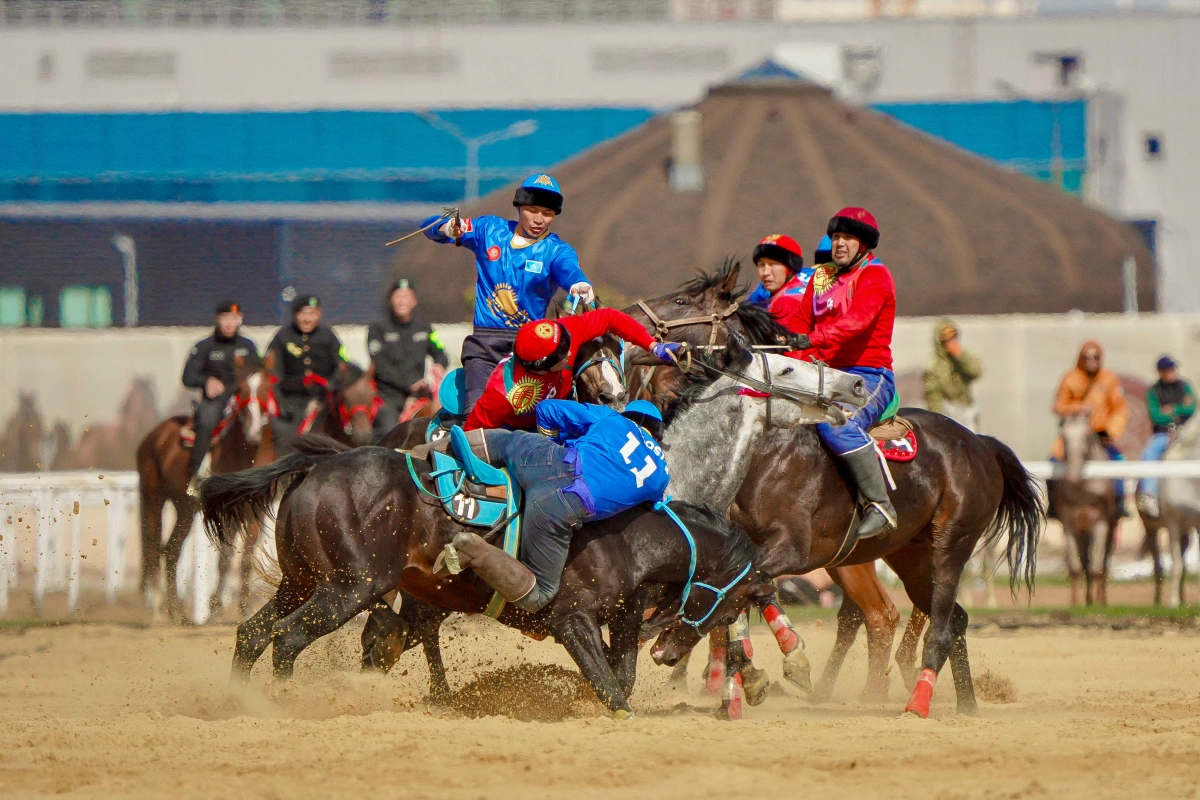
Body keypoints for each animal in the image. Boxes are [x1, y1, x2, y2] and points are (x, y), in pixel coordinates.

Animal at [136, 367, 274, 623]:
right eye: (241, 390)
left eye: (266, 389)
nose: (253, 429)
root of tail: (154, 436)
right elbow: (227, 556)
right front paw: (216, 609)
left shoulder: (254, 510)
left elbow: (245, 556)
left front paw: (243, 609)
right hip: (152, 499)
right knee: (152, 546)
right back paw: (157, 609)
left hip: (183, 509)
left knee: (170, 549)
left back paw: (176, 611)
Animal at [199, 347, 854, 714]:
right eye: (789, 365)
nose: (852, 387)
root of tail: (317, 466)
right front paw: (771, 670)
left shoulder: (633, 611)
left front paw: (762, 673)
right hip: (349, 587)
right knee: (295, 640)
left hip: (306, 580)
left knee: (256, 635)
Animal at [643, 338, 1046, 719]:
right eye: (787, 369)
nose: (853, 384)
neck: (767, 461)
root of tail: (979, 443)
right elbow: (740, 595)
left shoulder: (790, 550)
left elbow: (727, 590)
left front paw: (676, 640)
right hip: (912, 559)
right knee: (951, 619)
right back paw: (965, 706)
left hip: (950, 545)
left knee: (934, 626)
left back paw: (916, 703)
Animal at [1056, 412, 1118, 606]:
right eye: (1064, 436)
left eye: (1086, 436)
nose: (1072, 476)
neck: (1083, 489)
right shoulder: (1069, 524)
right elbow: (1076, 567)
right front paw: (1076, 603)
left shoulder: (1100, 523)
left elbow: (1097, 567)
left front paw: (1099, 602)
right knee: (1084, 561)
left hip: (1109, 528)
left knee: (1103, 563)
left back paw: (1100, 599)